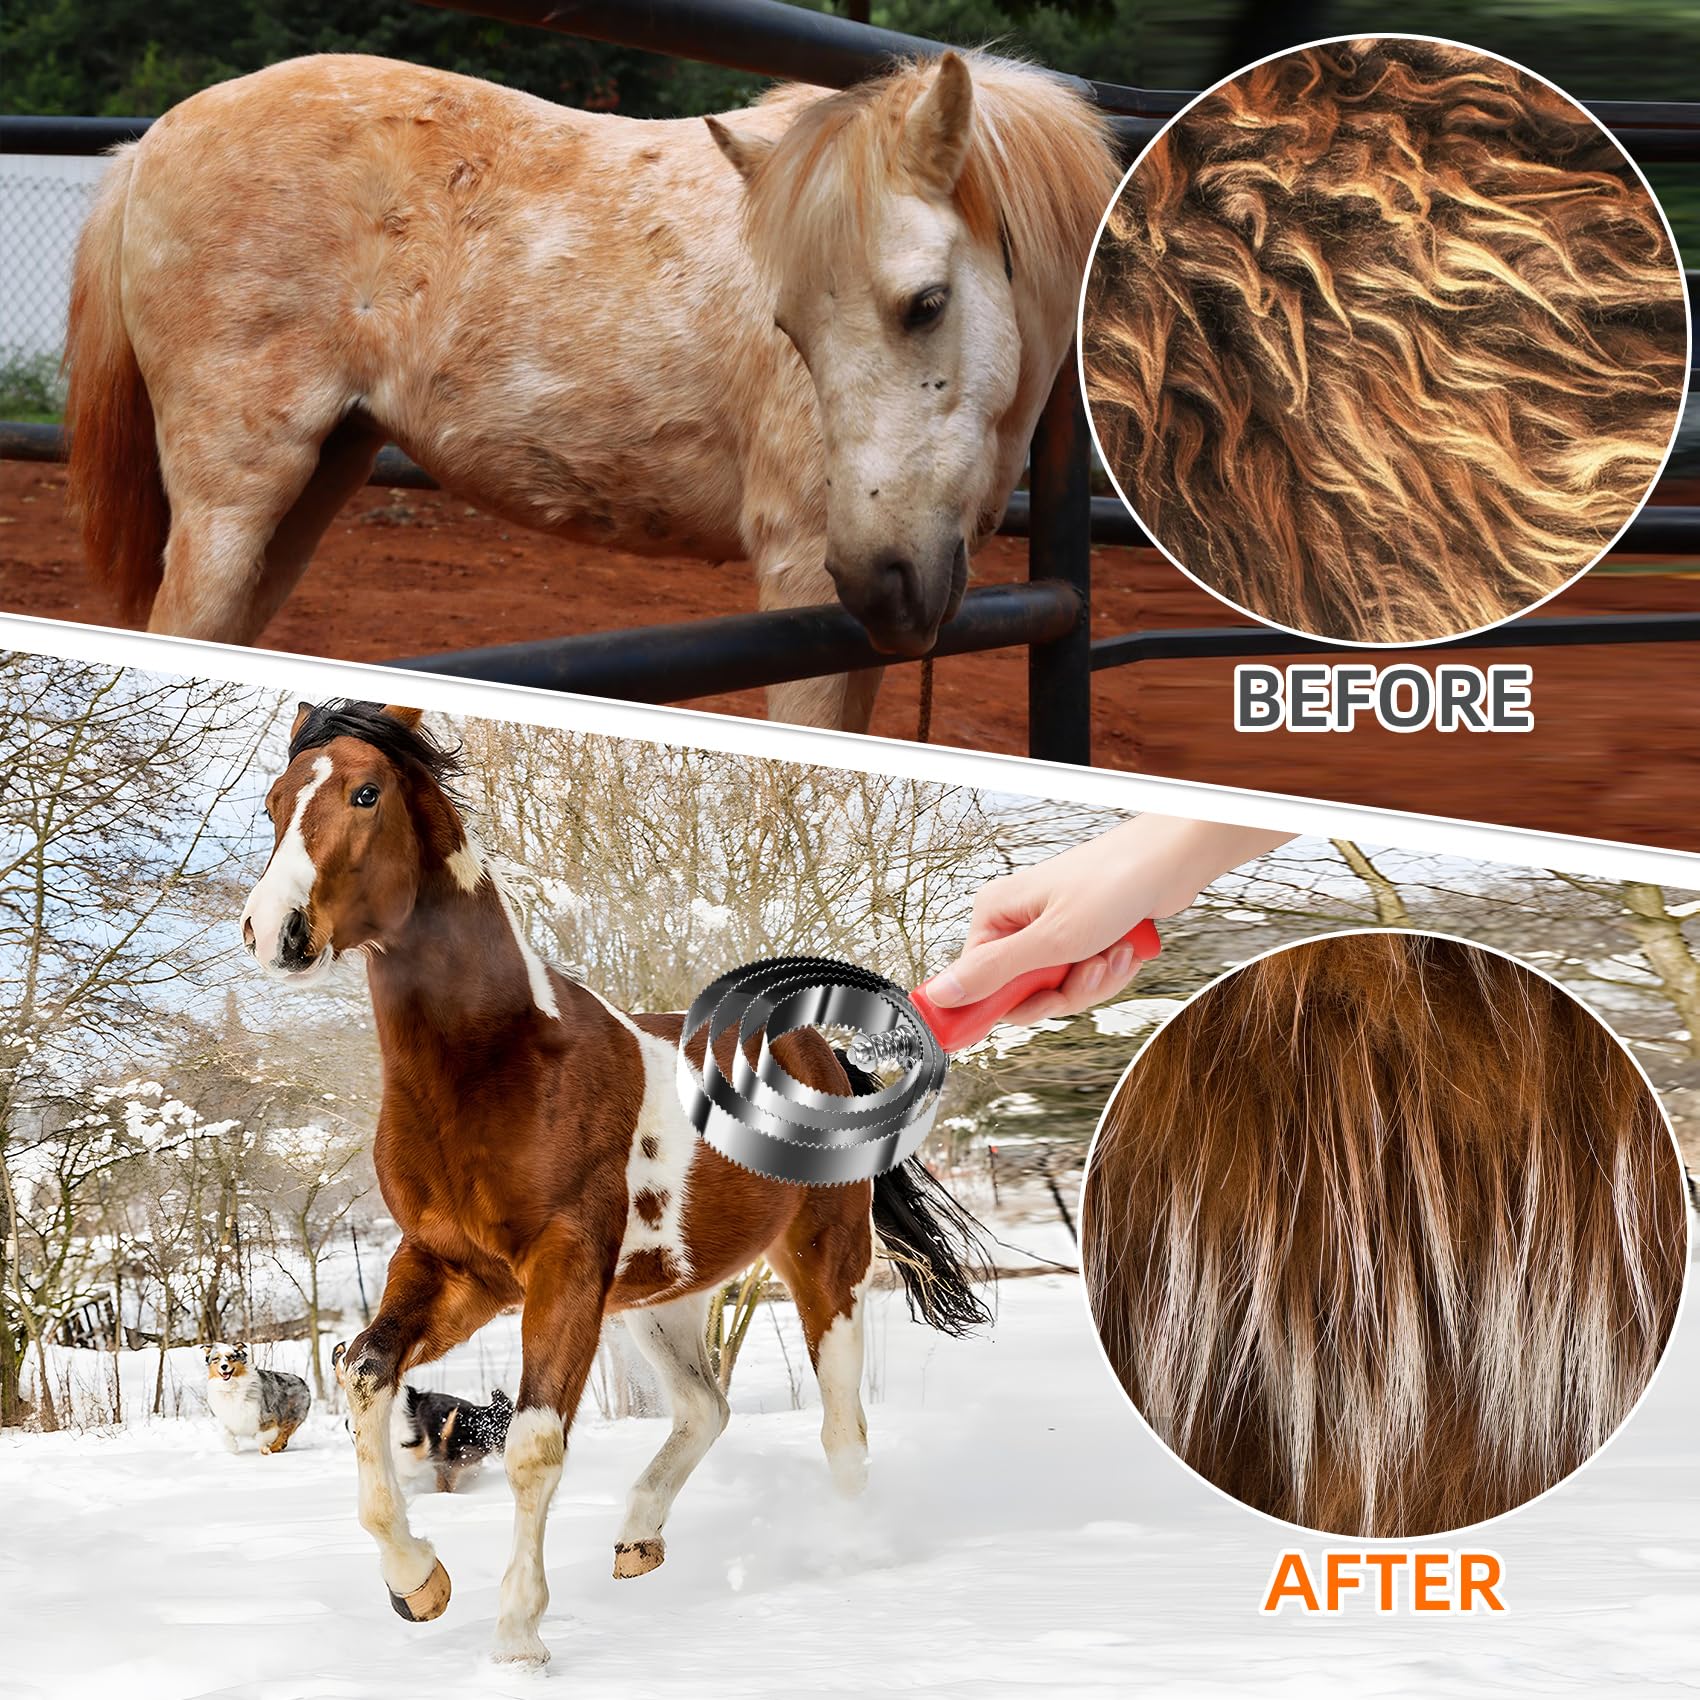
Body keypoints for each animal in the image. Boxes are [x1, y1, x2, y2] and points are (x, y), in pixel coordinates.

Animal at [66, 52, 1117, 729]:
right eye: (788, 330)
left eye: (926, 304)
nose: (882, 578)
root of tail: (150, 143)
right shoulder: (801, 582)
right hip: (232, 496)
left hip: (313, 484)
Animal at [239, 698, 991, 1664]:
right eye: (274, 801)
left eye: (366, 793)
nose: (274, 930)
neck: (495, 1067)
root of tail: (821, 1053)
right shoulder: (453, 1268)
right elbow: (363, 1373)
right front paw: (419, 1585)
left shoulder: (562, 1266)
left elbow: (532, 1445)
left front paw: (518, 1639)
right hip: (661, 1296)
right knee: (707, 1408)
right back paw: (638, 1539)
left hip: (827, 1263)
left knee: (842, 1429)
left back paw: (851, 1559)